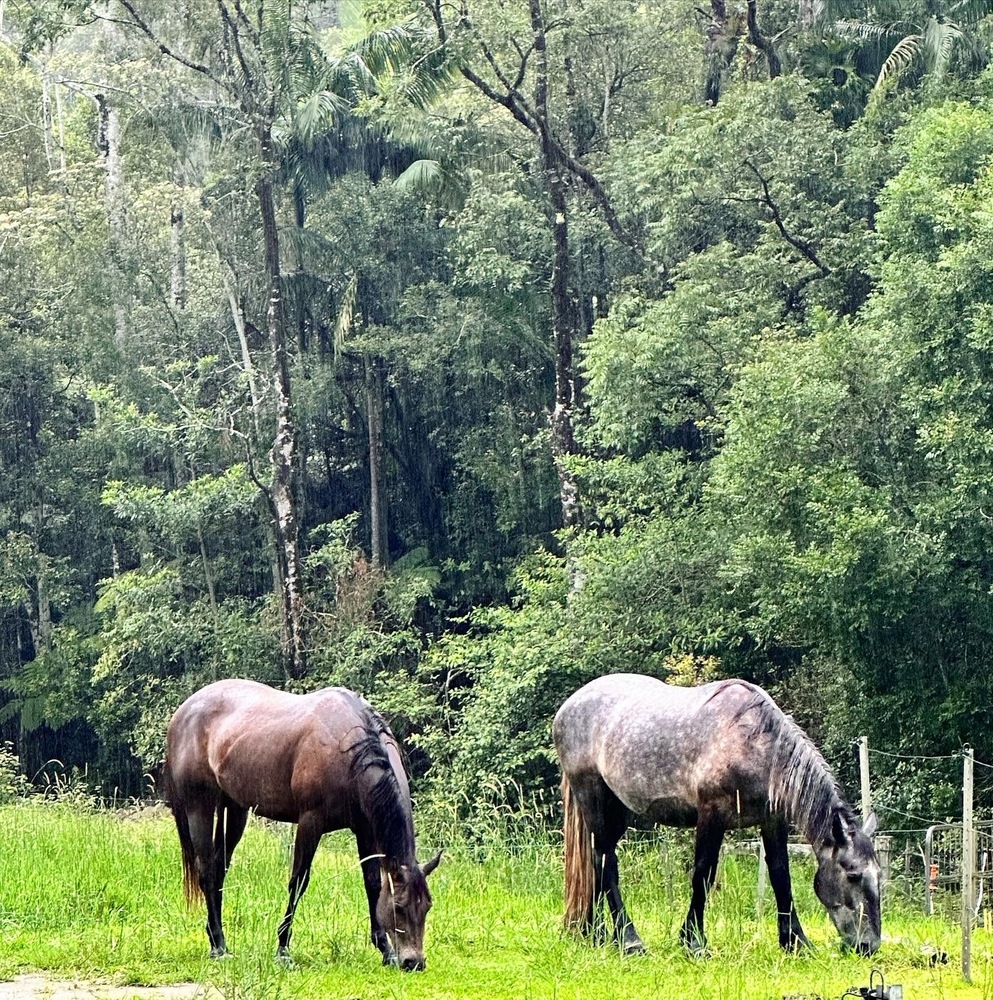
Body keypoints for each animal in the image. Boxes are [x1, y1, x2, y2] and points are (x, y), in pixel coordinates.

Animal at [162, 678, 441, 969]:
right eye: (399, 906)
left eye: (427, 905)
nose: (414, 962)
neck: (349, 748)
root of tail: (183, 713)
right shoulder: (310, 822)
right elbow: (298, 882)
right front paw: (283, 949)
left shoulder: (365, 830)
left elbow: (372, 884)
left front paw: (385, 949)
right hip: (199, 807)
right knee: (206, 869)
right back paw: (218, 944)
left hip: (235, 810)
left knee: (219, 869)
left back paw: (216, 939)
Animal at [553, 673, 880, 956]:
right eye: (852, 875)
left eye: (879, 874)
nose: (869, 946)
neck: (752, 741)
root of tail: (567, 708)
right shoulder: (712, 815)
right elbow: (703, 873)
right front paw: (693, 942)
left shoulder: (772, 820)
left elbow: (780, 875)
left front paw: (796, 942)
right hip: (594, 800)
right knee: (606, 863)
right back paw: (629, 940)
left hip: (617, 811)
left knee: (595, 863)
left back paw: (595, 934)